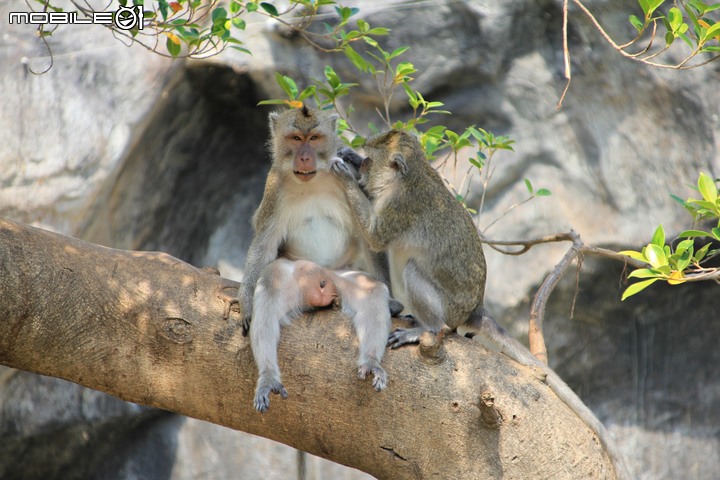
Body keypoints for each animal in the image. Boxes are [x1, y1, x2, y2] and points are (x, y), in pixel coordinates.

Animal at [332, 129, 632, 480]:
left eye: (369, 161)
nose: (358, 164)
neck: (411, 176)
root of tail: (474, 308)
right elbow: (374, 241)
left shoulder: (398, 206)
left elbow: (375, 236)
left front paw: (344, 173)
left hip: (450, 307)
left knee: (415, 275)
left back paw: (428, 328)